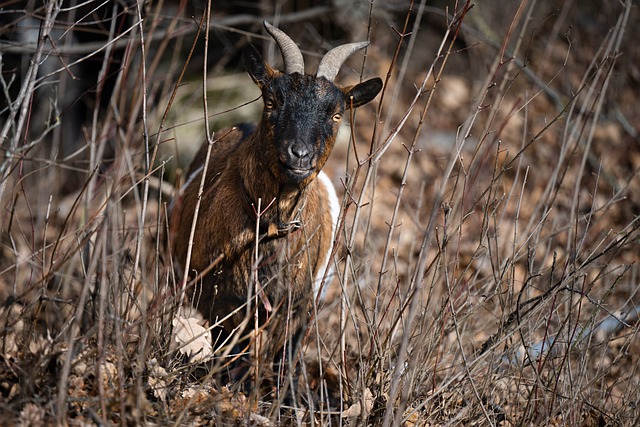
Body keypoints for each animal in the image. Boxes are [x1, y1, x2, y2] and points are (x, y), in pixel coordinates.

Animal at [168, 20, 382, 378]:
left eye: (337, 114)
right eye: (271, 100)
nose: (299, 154)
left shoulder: (297, 306)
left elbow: (285, 357)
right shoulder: (220, 302)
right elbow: (232, 354)